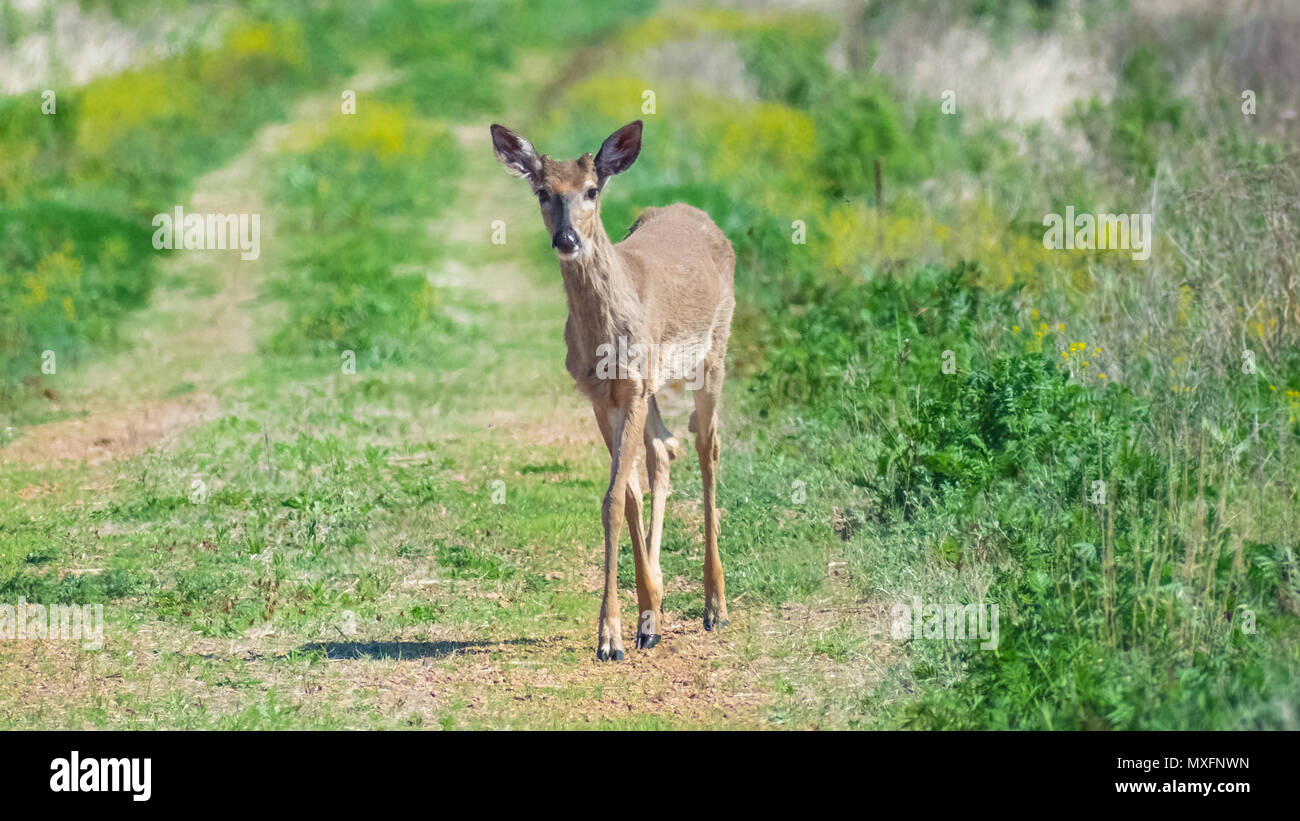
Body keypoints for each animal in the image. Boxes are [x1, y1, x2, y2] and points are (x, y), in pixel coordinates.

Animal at [490, 120, 734, 661]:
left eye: (591, 190)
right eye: (542, 191)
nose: (566, 238)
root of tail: (704, 217)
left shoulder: (635, 386)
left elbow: (613, 498)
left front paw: (609, 638)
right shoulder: (601, 395)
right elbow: (625, 495)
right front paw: (642, 620)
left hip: (714, 351)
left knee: (708, 447)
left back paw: (716, 607)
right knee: (665, 448)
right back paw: (659, 604)